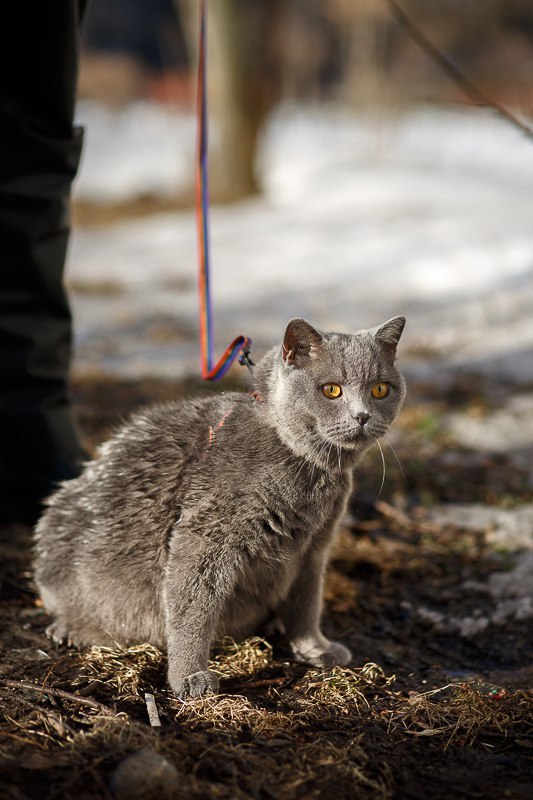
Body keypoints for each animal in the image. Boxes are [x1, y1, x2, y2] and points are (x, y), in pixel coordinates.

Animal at [35, 316, 406, 696]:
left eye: (381, 389)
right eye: (331, 390)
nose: (362, 416)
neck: (311, 467)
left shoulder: (315, 544)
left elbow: (307, 601)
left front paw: (315, 649)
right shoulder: (206, 533)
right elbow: (192, 607)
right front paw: (189, 677)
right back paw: (71, 629)